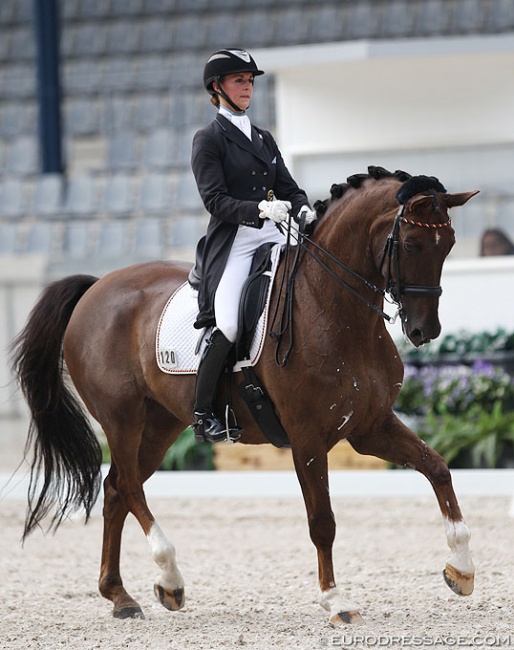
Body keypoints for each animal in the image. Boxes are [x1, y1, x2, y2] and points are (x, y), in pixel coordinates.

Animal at [11, 166, 476, 624]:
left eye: (450, 245)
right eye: (412, 244)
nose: (424, 331)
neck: (333, 310)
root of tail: (96, 287)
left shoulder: (370, 428)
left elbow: (438, 468)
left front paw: (462, 570)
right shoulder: (307, 437)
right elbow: (322, 520)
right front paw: (336, 601)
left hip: (160, 425)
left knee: (115, 490)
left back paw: (121, 596)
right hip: (122, 418)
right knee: (127, 486)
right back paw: (170, 579)